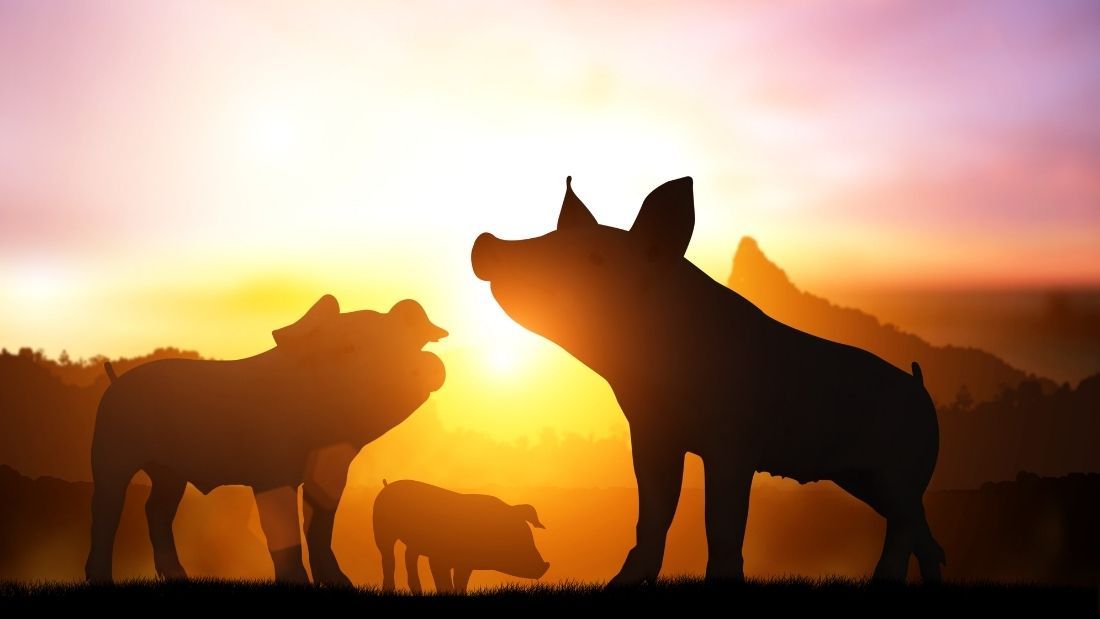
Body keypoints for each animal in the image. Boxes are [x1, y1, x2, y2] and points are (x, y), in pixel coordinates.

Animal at [85, 295, 447, 584]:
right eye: (348, 347)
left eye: (407, 340)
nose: (428, 364)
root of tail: (115, 382)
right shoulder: (271, 473)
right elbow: (283, 535)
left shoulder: (331, 477)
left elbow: (320, 530)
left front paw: (343, 584)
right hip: (110, 452)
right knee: (107, 509)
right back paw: (101, 578)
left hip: (169, 473)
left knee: (156, 510)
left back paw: (179, 577)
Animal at [373, 479, 550, 593]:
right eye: (517, 536)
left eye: (529, 535)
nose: (545, 566)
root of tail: (387, 486)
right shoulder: (438, 558)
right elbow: (443, 581)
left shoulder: (465, 564)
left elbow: (461, 582)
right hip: (381, 532)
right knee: (388, 559)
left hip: (413, 544)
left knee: (408, 557)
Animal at [470, 177, 944, 584]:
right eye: (550, 237)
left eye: (595, 258)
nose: (486, 242)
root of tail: (921, 388)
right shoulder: (652, 435)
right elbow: (653, 515)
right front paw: (619, 585)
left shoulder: (733, 442)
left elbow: (721, 524)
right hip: (865, 479)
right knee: (925, 535)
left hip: (900, 469)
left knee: (904, 528)